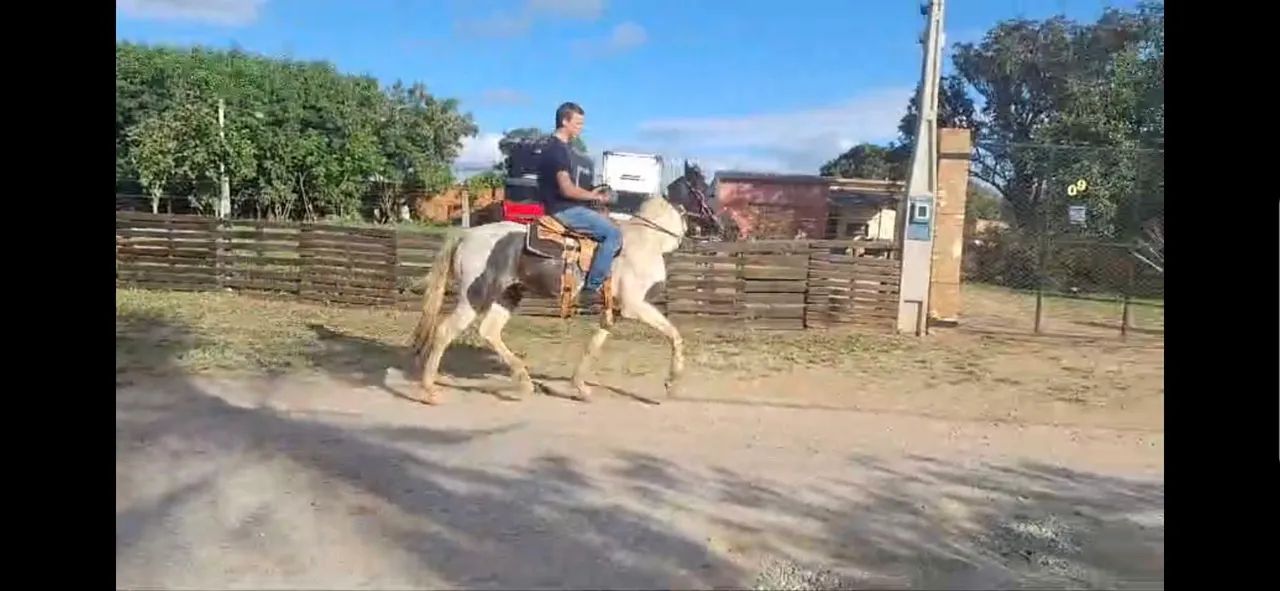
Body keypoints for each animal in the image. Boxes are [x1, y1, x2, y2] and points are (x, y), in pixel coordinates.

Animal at [409, 195, 689, 405]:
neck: (648, 240)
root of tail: (467, 235)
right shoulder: (634, 306)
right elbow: (674, 334)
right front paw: (671, 381)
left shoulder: (616, 310)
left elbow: (594, 345)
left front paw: (580, 387)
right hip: (474, 296)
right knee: (446, 331)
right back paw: (430, 391)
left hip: (509, 295)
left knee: (489, 331)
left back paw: (524, 381)